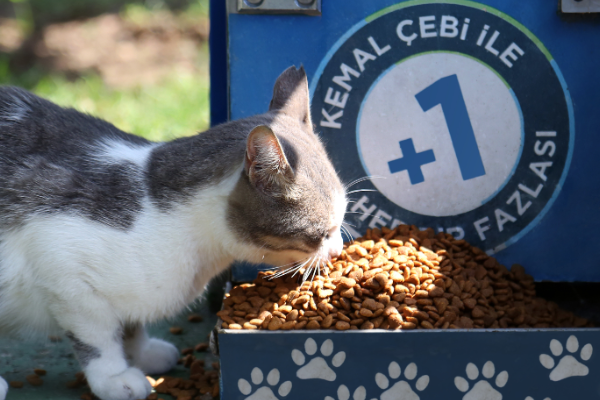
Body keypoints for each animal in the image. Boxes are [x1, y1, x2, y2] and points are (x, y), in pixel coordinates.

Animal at [0, 66, 346, 400]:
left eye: (341, 221)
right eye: (323, 232)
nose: (338, 250)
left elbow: (130, 322)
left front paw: (142, 352)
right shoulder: (65, 272)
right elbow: (99, 337)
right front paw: (113, 376)